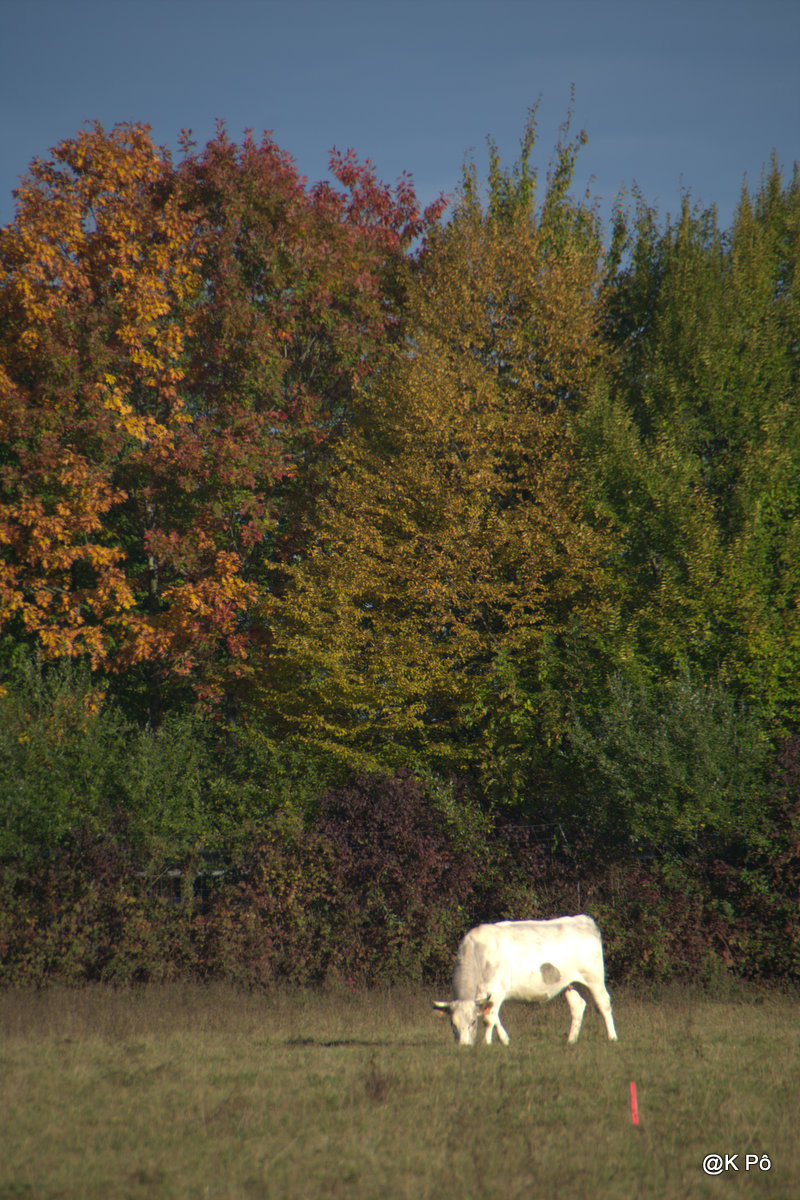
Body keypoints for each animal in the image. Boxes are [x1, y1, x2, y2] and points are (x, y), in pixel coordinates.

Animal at [433, 915, 618, 1046]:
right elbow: (493, 1016)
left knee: (604, 1004)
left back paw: (612, 1037)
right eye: (452, 1024)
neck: (477, 953)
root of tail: (583, 919)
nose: (464, 1046)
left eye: (472, 1023)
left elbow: (489, 1018)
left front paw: (487, 1043)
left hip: (595, 978)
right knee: (578, 1006)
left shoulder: (496, 989)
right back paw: (571, 1040)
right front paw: (505, 1039)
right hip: (570, 983)